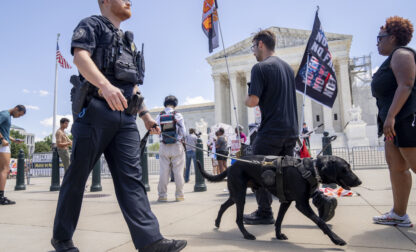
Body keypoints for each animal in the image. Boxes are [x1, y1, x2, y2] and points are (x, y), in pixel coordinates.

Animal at [197, 155, 360, 245]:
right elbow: (321, 223)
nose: (359, 181)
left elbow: (279, 221)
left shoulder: (285, 202)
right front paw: (336, 239)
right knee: (238, 218)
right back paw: (246, 235)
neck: (311, 169)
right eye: (345, 168)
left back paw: (217, 222)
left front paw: (278, 235)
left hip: (236, 195)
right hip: (240, 196)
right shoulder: (301, 204)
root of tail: (232, 165)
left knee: (223, 205)